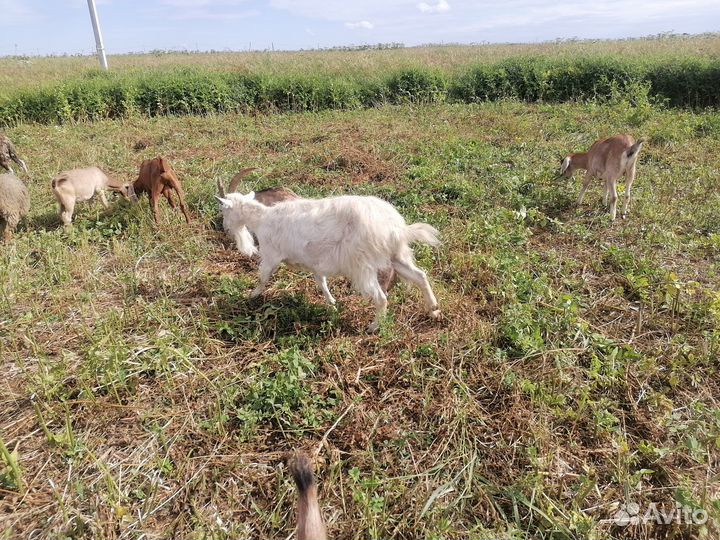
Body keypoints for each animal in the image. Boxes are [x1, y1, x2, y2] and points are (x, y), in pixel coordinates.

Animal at [217, 192, 441, 332]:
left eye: (224, 210)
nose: (225, 228)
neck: (262, 219)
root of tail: (395, 229)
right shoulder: (315, 264)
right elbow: (321, 283)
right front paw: (332, 303)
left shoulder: (271, 256)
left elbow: (263, 278)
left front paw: (250, 296)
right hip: (397, 257)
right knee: (420, 276)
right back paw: (434, 308)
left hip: (363, 265)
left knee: (381, 298)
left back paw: (373, 327)